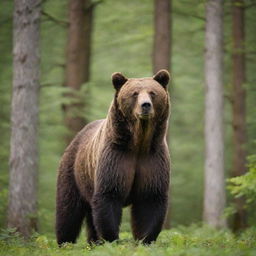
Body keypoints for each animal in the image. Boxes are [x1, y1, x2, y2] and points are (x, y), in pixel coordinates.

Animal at [56, 69, 170, 245]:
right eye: (134, 93)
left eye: (153, 92)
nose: (145, 105)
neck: (138, 143)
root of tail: (77, 137)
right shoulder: (116, 155)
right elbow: (109, 194)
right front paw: (112, 239)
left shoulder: (152, 157)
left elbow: (150, 198)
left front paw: (144, 239)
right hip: (74, 172)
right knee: (68, 210)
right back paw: (65, 242)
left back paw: (93, 242)